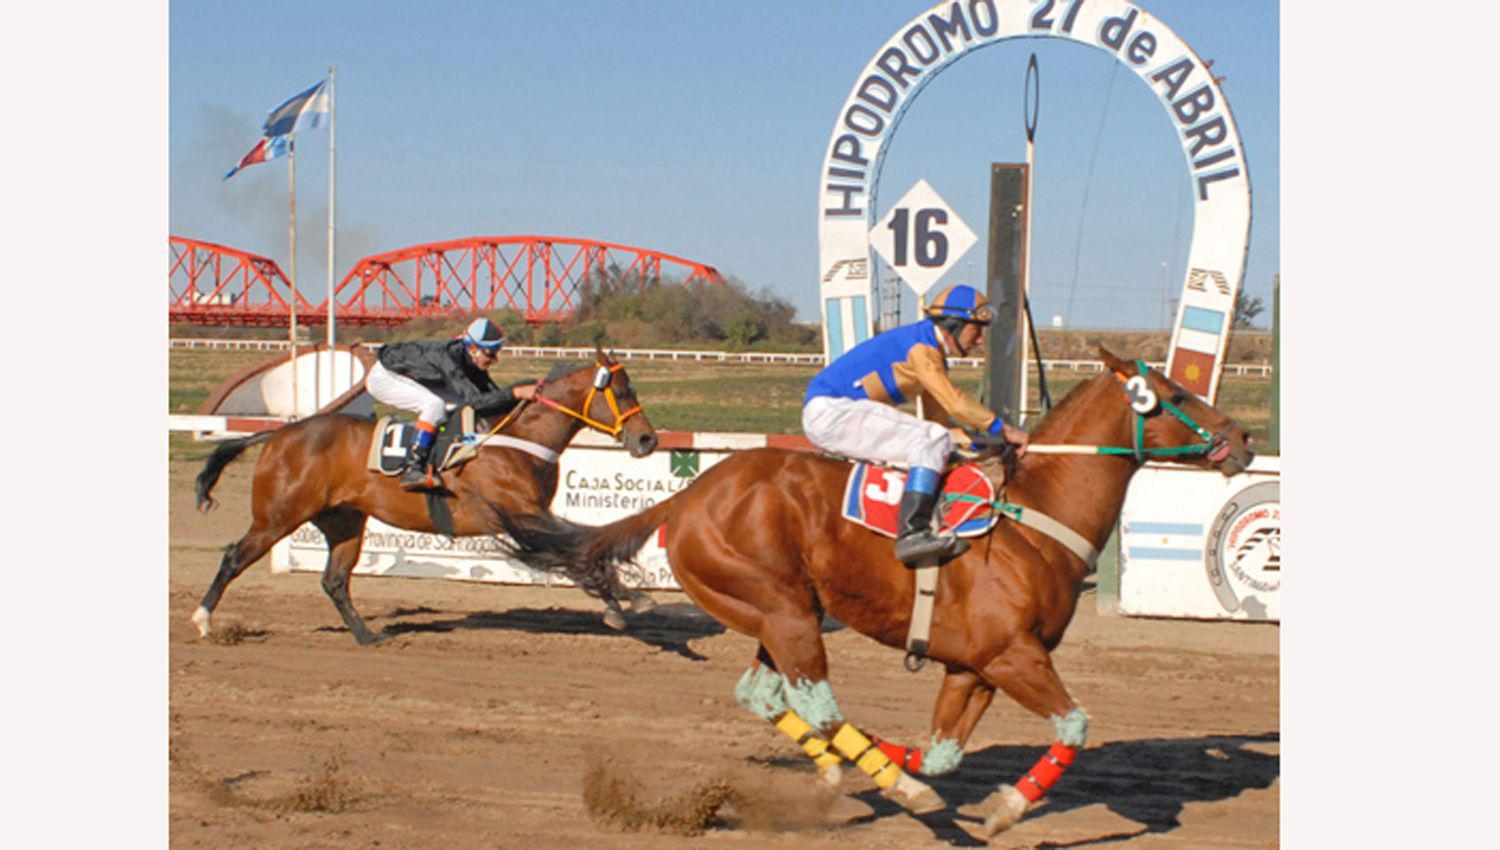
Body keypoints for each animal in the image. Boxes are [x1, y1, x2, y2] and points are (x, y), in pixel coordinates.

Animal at [189, 346, 657, 644]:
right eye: (622, 391)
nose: (648, 439)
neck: (518, 438)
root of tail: (278, 434)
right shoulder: (521, 513)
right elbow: (579, 550)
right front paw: (626, 601)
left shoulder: (529, 516)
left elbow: (580, 548)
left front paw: (623, 600)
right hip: (278, 517)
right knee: (234, 558)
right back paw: (203, 620)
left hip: (343, 520)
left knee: (335, 580)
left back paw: (367, 636)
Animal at [501, 349, 1254, 839]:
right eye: (1174, 396)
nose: (1243, 436)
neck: (1036, 515)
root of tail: (689, 493)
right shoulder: (1014, 656)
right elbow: (1072, 726)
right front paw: (1002, 806)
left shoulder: (974, 666)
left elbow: (946, 748)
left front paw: (921, 764)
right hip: (783, 611)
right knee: (819, 703)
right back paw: (899, 787)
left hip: (781, 616)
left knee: (767, 696)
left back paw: (848, 770)